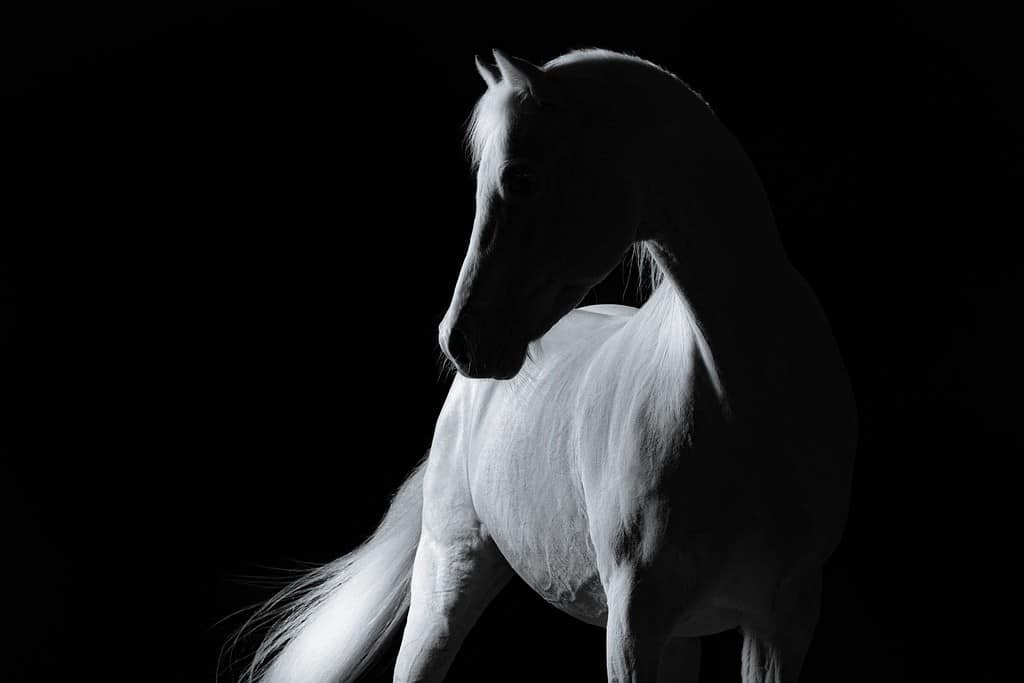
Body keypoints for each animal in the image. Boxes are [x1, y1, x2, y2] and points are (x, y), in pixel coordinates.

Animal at [240, 48, 857, 683]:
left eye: (521, 177)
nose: (459, 340)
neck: (743, 404)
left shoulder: (780, 623)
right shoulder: (635, 622)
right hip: (447, 578)